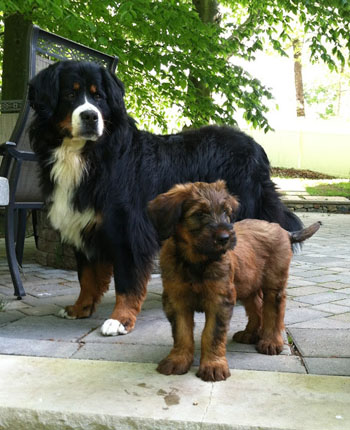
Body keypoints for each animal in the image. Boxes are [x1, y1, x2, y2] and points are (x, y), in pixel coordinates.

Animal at [148, 180, 320, 382]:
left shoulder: (220, 300)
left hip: (273, 284)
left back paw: (271, 341)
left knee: (273, 311)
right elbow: (181, 332)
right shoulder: (176, 300)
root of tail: (284, 230)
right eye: (199, 213)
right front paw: (178, 360)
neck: (197, 261)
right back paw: (250, 334)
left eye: (226, 212)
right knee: (256, 308)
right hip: (247, 286)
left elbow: (212, 334)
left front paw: (213, 366)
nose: (224, 238)